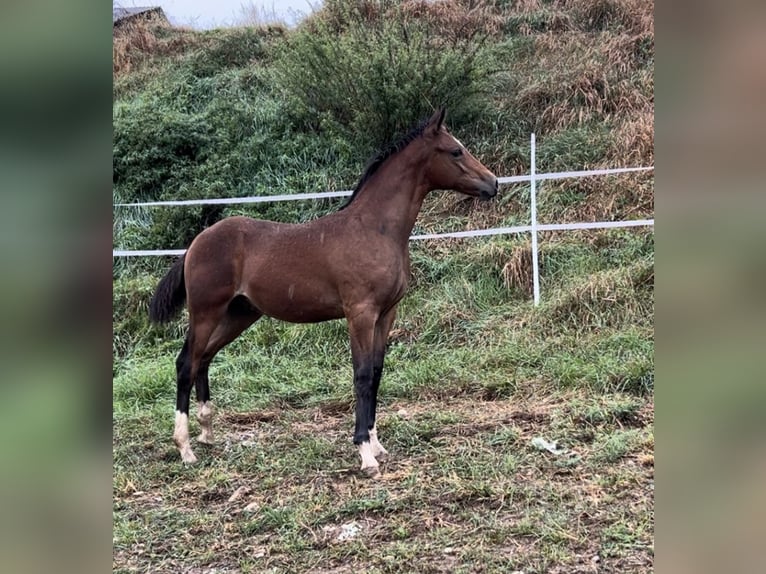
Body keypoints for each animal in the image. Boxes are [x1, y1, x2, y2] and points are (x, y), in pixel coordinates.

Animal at [148, 110, 498, 480]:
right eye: (455, 151)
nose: (493, 183)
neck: (375, 229)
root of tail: (196, 243)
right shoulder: (360, 313)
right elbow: (362, 375)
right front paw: (365, 454)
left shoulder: (386, 314)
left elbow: (376, 372)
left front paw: (377, 444)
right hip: (206, 311)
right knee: (186, 363)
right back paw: (185, 448)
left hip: (239, 314)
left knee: (204, 358)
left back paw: (207, 433)